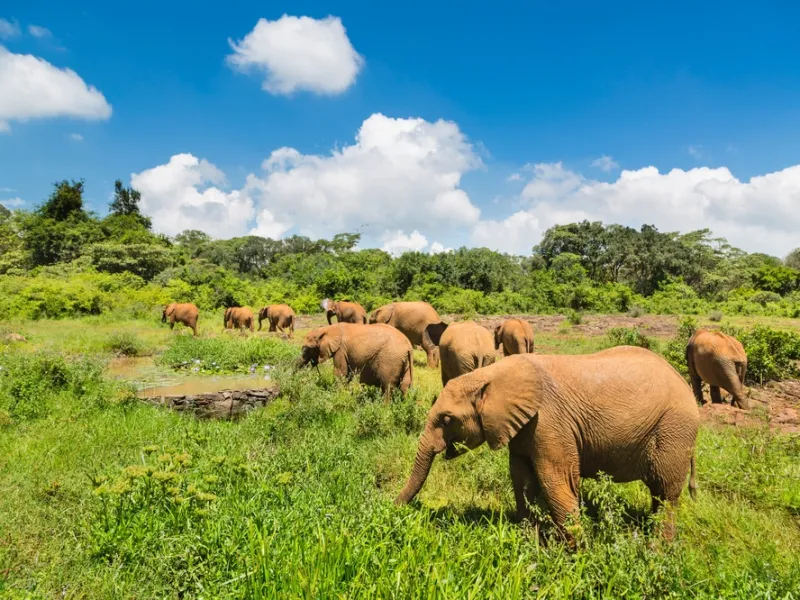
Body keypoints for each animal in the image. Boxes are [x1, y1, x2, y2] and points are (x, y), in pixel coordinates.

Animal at [395, 346, 699, 544]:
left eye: (447, 419)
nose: (393, 508)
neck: (491, 375)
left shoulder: (549, 421)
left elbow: (556, 481)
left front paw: (575, 555)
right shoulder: (521, 426)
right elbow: (521, 479)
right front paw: (529, 540)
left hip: (674, 429)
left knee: (666, 493)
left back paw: (658, 550)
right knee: (658, 493)